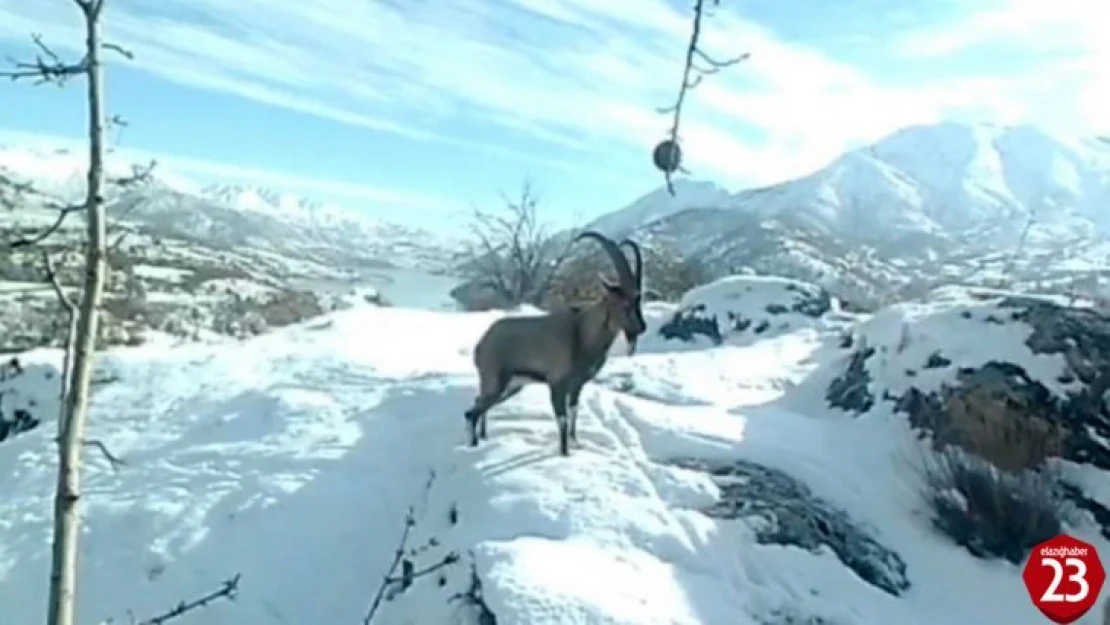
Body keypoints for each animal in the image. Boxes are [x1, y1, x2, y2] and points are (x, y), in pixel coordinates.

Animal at [463, 232, 648, 457]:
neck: (582, 334)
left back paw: (483, 437)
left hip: (511, 387)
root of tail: (481, 344)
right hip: (496, 381)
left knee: (479, 405)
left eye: (638, 300)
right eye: (624, 302)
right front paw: (564, 453)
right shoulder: (557, 383)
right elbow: (562, 419)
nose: (642, 327)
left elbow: (573, 412)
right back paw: (473, 444)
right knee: (472, 411)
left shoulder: (577, 385)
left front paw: (576, 444)